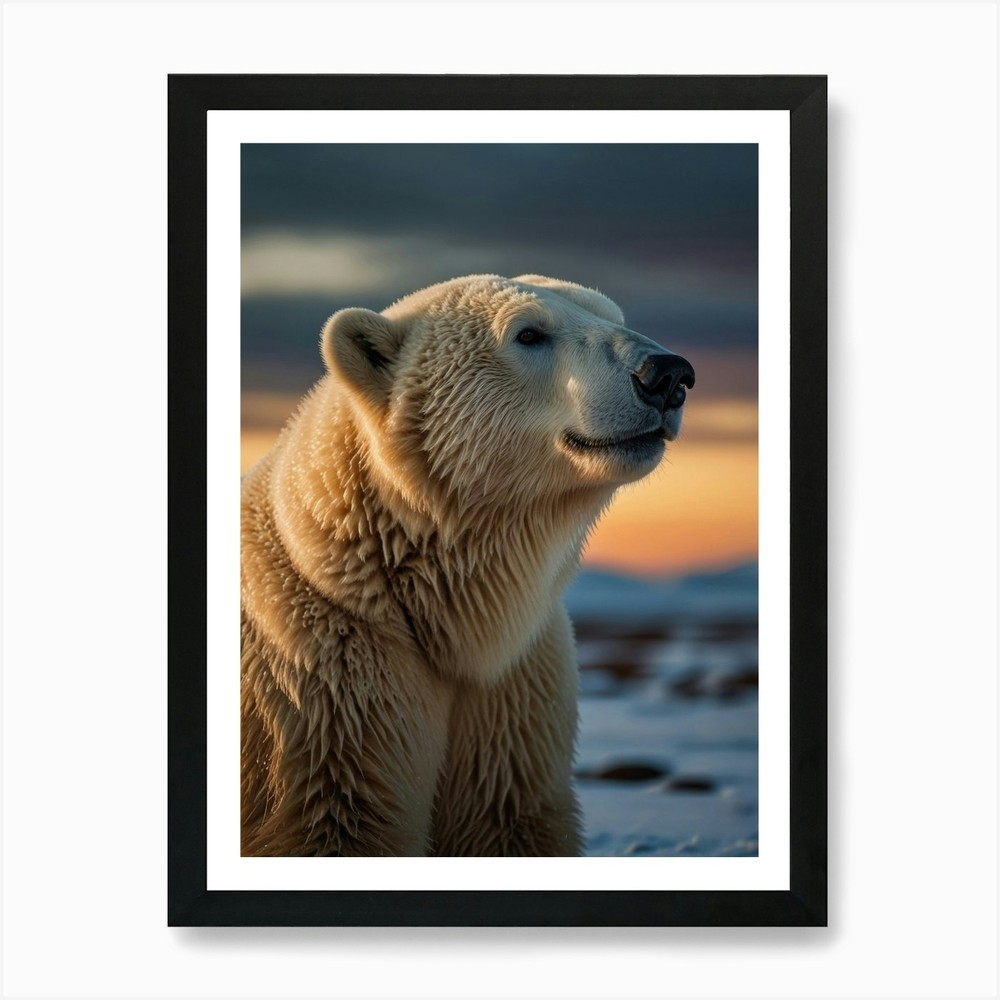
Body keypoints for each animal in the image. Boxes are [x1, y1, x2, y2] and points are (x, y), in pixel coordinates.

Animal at [240, 274, 695, 856]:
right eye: (529, 333)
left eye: (613, 314)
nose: (668, 375)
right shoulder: (331, 687)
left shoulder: (513, 687)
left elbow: (503, 817)